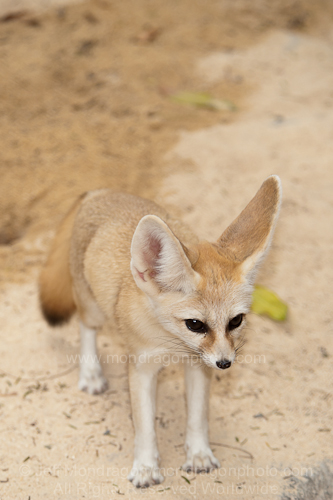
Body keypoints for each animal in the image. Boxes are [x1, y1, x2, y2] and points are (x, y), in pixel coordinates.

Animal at [40, 175, 282, 484]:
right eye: (195, 324)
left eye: (236, 321)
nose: (225, 363)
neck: (171, 342)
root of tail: (100, 191)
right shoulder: (141, 368)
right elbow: (145, 425)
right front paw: (145, 466)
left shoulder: (199, 365)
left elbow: (198, 416)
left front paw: (199, 454)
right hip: (91, 307)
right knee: (86, 329)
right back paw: (91, 373)